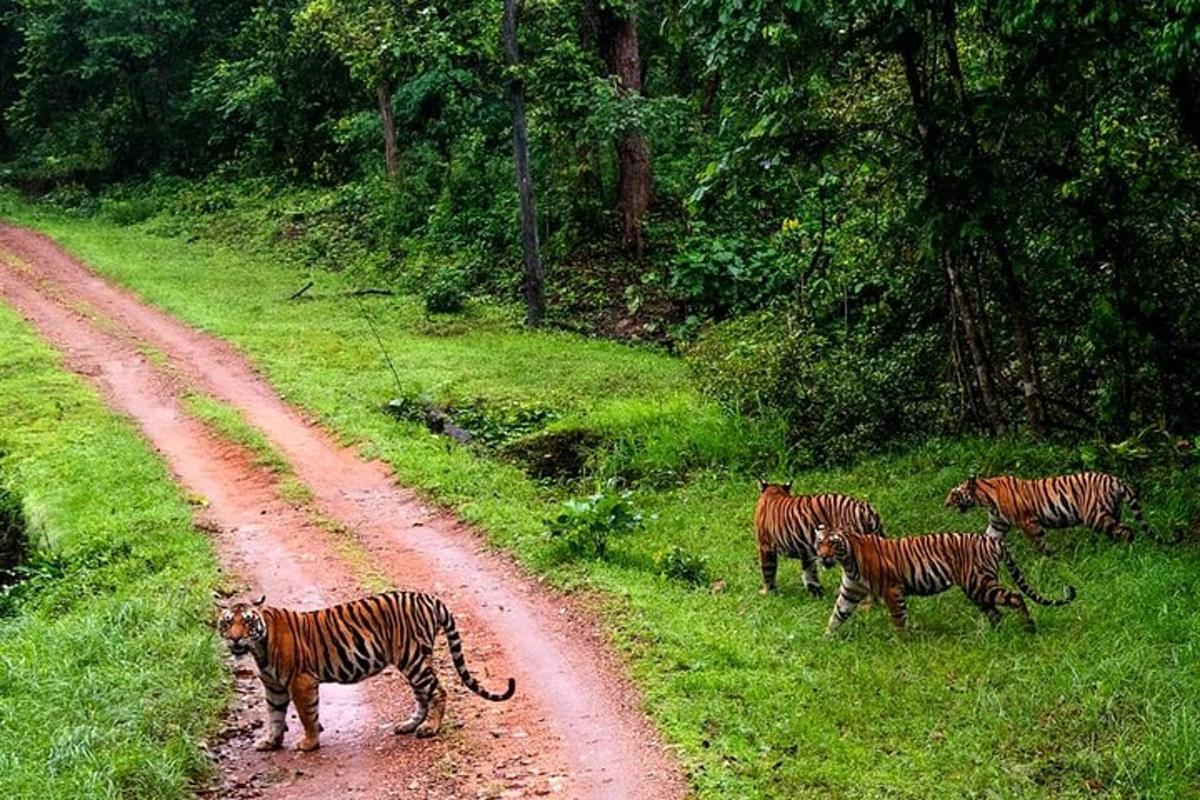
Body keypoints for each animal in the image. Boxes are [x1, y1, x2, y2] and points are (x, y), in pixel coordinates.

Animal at [217, 587, 516, 753]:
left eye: (247, 622)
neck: (259, 649)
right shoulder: (274, 686)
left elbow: (306, 715)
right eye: (228, 622)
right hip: (416, 660)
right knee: (423, 694)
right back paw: (410, 725)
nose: (235, 639)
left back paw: (431, 728)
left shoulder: (301, 681)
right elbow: (274, 715)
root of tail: (428, 597)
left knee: (438, 691)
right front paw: (270, 742)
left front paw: (309, 744)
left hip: (412, 658)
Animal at [753, 479, 888, 597]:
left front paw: (767, 592)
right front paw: (815, 591)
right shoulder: (806, 550)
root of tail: (867, 510)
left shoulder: (765, 545)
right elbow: (810, 572)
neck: (774, 492)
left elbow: (768, 570)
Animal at [816, 527, 1080, 633]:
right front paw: (827, 638)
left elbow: (899, 619)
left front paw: (902, 643)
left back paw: (1029, 628)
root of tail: (993, 540)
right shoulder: (850, 591)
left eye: (834, 543)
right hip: (976, 588)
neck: (848, 562)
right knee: (996, 612)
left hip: (979, 583)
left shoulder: (893, 590)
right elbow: (837, 614)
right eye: (820, 542)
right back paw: (993, 635)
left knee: (1015, 598)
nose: (822, 556)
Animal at [940, 472, 1147, 554]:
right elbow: (988, 537)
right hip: (1112, 511)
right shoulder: (998, 523)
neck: (987, 499)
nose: (945, 504)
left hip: (1095, 516)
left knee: (1126, 530)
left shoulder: (1028, 521)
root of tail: (1115, 480)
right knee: (1118, 530)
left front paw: (1050, 559)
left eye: (954, 494)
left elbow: (1038, 543)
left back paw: (1126, 551)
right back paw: (1113, 550)